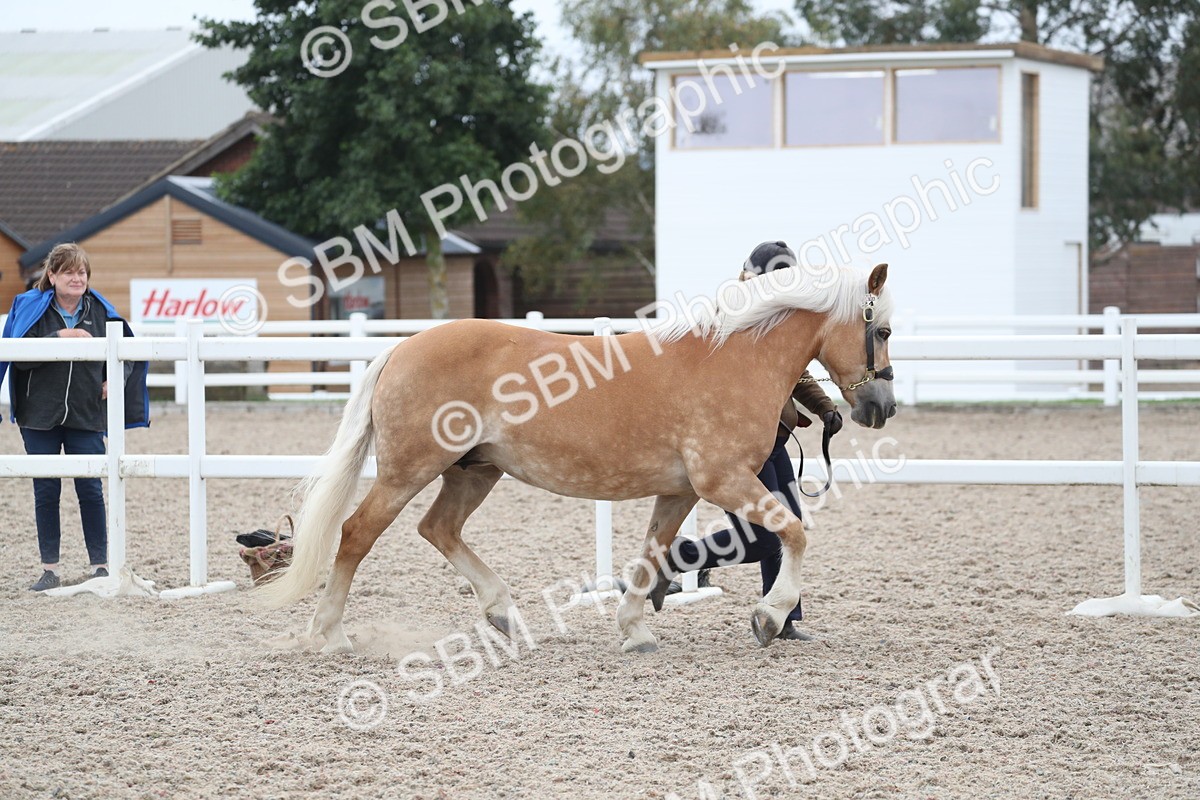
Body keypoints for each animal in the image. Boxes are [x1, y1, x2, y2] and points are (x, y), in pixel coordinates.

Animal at [261, 263, 896, 653]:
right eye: (884, 331)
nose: (881, 407)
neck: (734, 357)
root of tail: (401, 347)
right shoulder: (724, 481)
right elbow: (794, 533)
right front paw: (769, 616)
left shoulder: (680, 491)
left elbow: (651, 555)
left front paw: (635, 628)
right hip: (407, 471)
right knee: (356, 534)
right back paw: (332, 634)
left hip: (475, 471)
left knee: (437, 528)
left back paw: (503, 613)